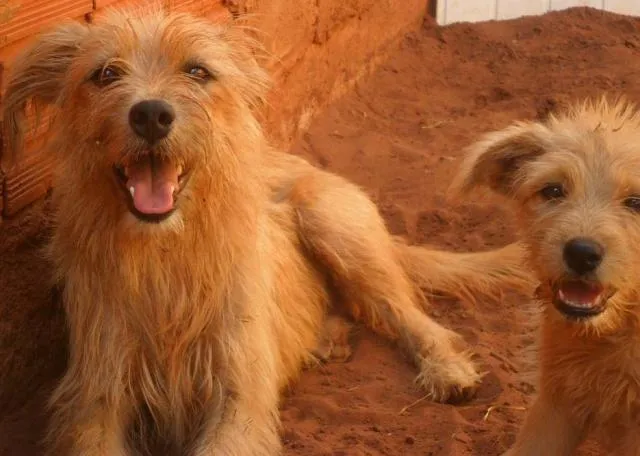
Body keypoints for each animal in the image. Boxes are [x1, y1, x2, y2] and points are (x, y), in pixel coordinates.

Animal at [3, 4, 536, 456]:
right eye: (106, 73)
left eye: (197, 71)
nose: (151, 114)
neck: (168, 255)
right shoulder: (97, 397)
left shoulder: (238, 397)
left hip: (332, 223)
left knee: (412, 317)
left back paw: (447, 368)